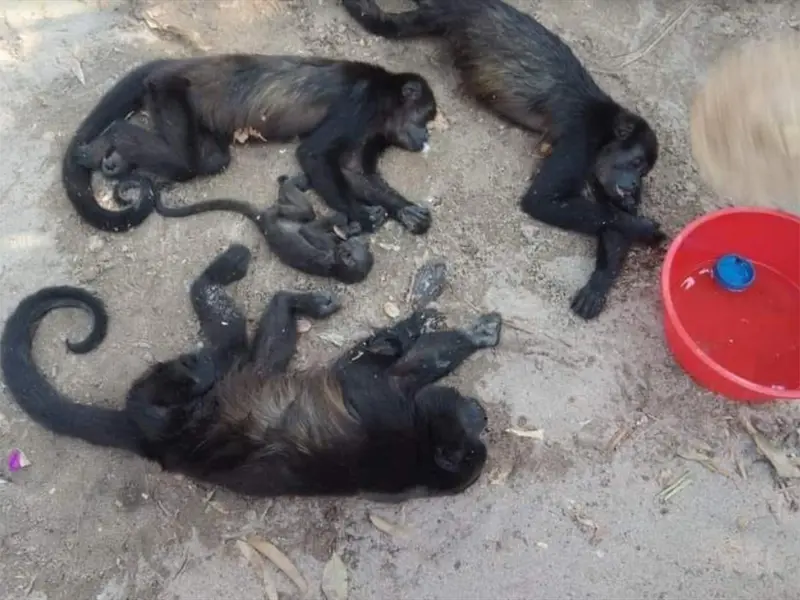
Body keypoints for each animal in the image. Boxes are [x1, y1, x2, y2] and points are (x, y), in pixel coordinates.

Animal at [1, 245, 502, 498]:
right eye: (471, 427)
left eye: (472, 441)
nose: (482, 412)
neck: (421, 448)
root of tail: (145, 439)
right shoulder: (394, 405)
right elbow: (414, 360)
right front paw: (454, 330)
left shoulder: (384, 408)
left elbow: (387, 365)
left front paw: (417, 333)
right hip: (240, 376)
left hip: (208, 399)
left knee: (205, 356)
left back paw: (190, 362)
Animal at [64, 54, 437, 236]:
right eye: (425, 118)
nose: (427, 136)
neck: (386, 101)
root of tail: (173, 64)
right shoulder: (360, 104)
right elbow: (313, 154)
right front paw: (360, 215)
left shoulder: (369, 128)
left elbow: (352, 171)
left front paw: (404, 209)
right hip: (166, 89)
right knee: (184, 162)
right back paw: (111, 140)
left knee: (211, 160)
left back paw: (117, 159)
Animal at [155, 174, 374, 284]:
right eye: (357, 247)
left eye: (350, 251)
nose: (353, 244)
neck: (336, 266)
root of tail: (263, 221)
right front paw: (351, 227)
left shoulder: (328, 247)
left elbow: (307, 231)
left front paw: (343, 223)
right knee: (304, 211)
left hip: (276, 215)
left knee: (301, 210)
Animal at [341, 0, 666, 320]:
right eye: (637, 163)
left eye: (644, 171)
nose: (634, 184)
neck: (607, 130)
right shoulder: (582, 140)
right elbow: (542, 200)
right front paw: (644, 227)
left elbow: (613, 222)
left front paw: (598, 282)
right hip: (446, 17)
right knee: (390, 25)